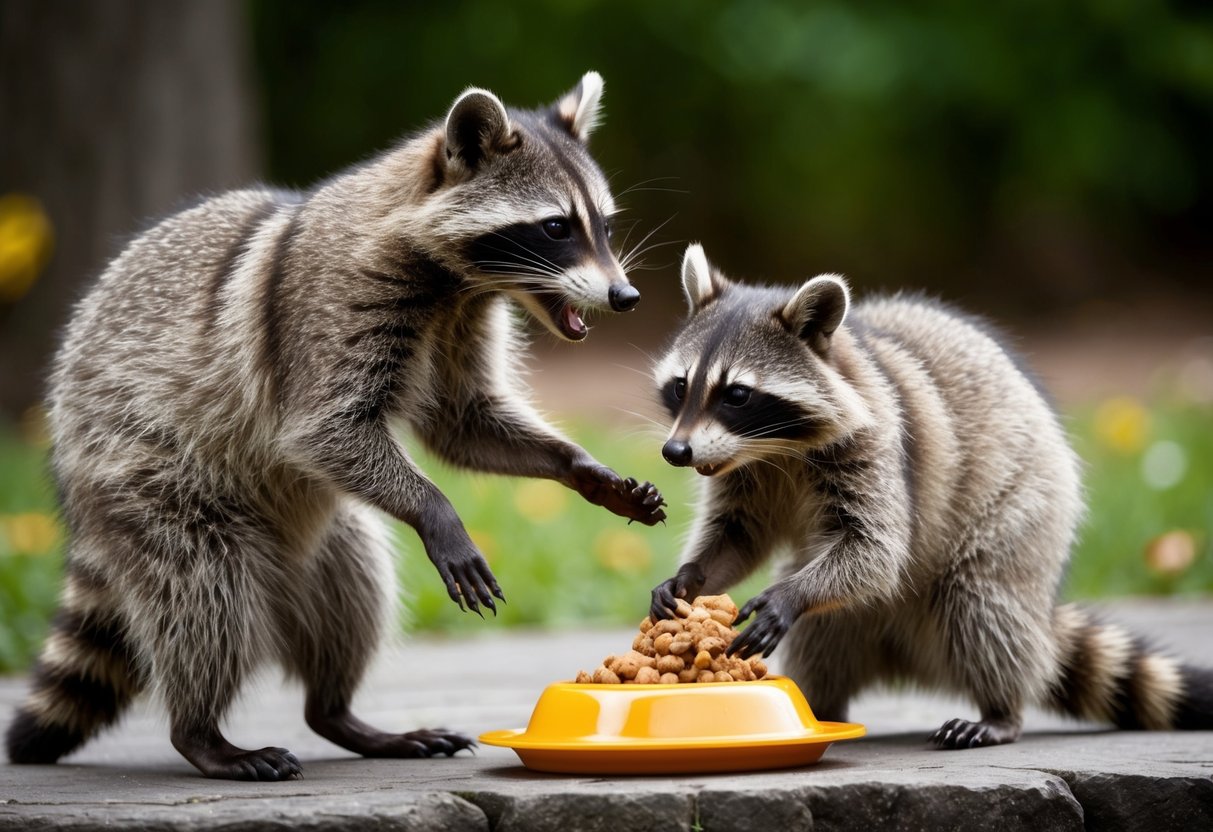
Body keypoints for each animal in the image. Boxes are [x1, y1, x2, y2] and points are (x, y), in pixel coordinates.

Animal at [5, 72, 667, 781]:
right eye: (555, 227)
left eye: (604, 225)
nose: (626, 296)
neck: (460, 284)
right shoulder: (329, 304)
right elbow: (323, 429)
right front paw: (437, 510)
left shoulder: (461, 323)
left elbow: (462, 422)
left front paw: (581, 467)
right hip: (139, 473)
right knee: (203, 594)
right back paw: (201, 731)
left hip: (323, 538)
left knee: (353, 591)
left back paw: (338, 713)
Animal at [650, 243, 1212, 748]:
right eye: (681, 386)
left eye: (737, 394)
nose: (675, 452)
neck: (774, 448)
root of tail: (906, 654)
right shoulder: (745, 474)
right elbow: (739, 536)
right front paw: (691, 577)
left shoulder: (879, 445)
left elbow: (876, 548)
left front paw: (788, 596)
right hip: (860, 616)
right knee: (824, 635)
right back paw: (820, 707)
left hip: (1028, 509)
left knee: (982, 606)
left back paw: (1001, 710)